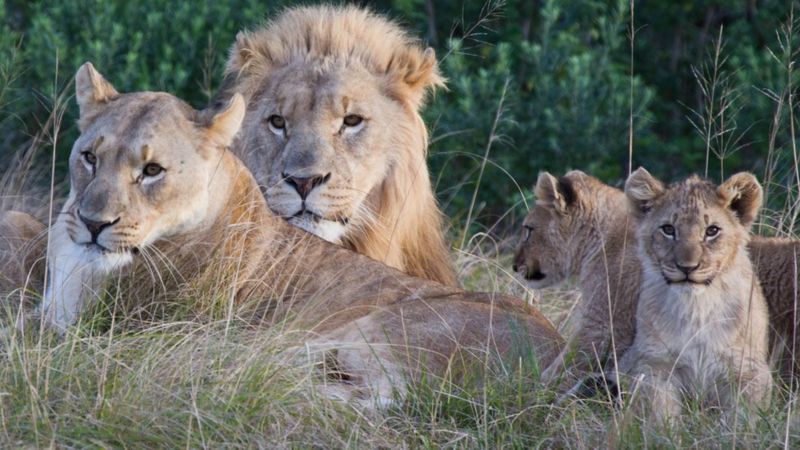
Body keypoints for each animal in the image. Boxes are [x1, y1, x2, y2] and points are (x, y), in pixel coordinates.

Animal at [616, 169, 772, 426]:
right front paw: (666, 431)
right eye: (668, 229)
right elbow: (659, 411)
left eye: (712, 231)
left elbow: (741, 416)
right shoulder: (652, 364)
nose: (687, 267)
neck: (696, 307)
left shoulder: (750, 370)